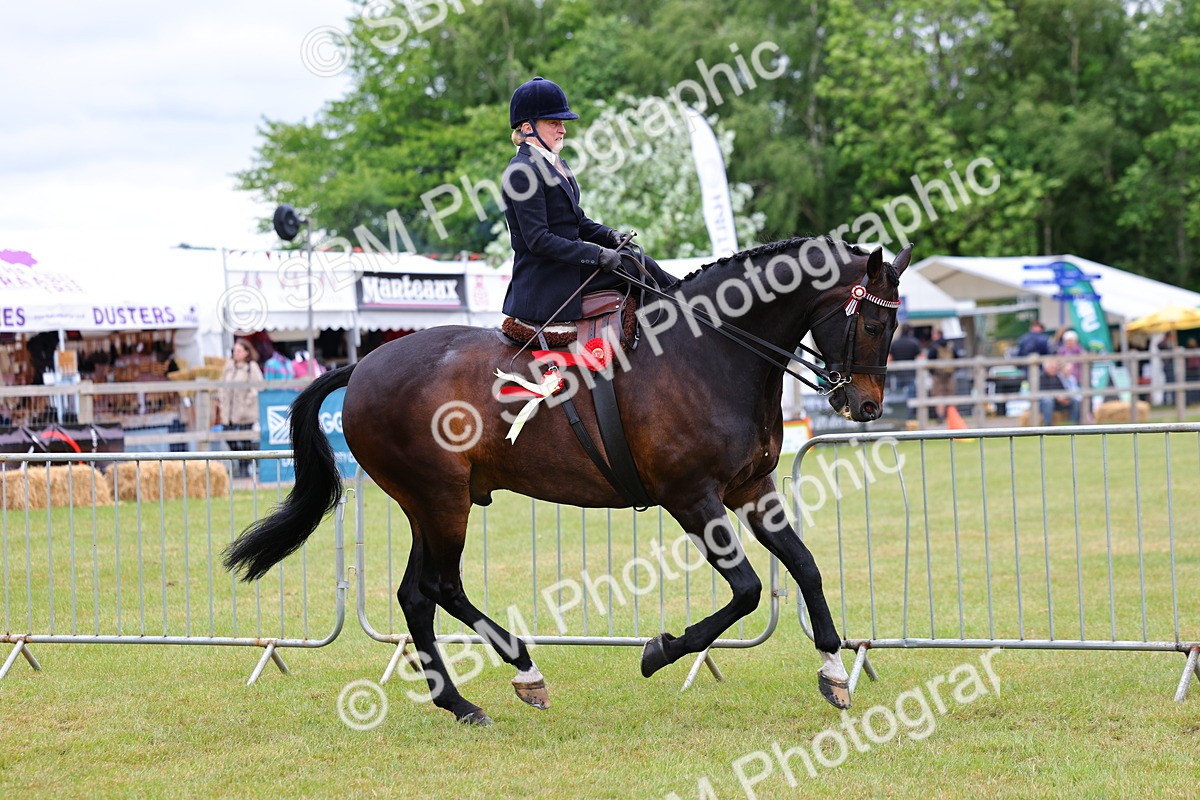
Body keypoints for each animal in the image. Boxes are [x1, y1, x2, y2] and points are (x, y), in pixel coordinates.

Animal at [225, 237, 911, 725]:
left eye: (894, 326)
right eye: (875, 326)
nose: (866, 406)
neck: (711, 353)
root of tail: (364, 365)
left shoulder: (752, 491)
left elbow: (806, 566)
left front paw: (833, 669)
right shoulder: (692, 499)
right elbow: (745, 590)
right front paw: (658, 651)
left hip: (430, 505)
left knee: (418, 595)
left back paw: (461, 702)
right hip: (441, 501)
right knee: (442, 586)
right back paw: (521, 670)